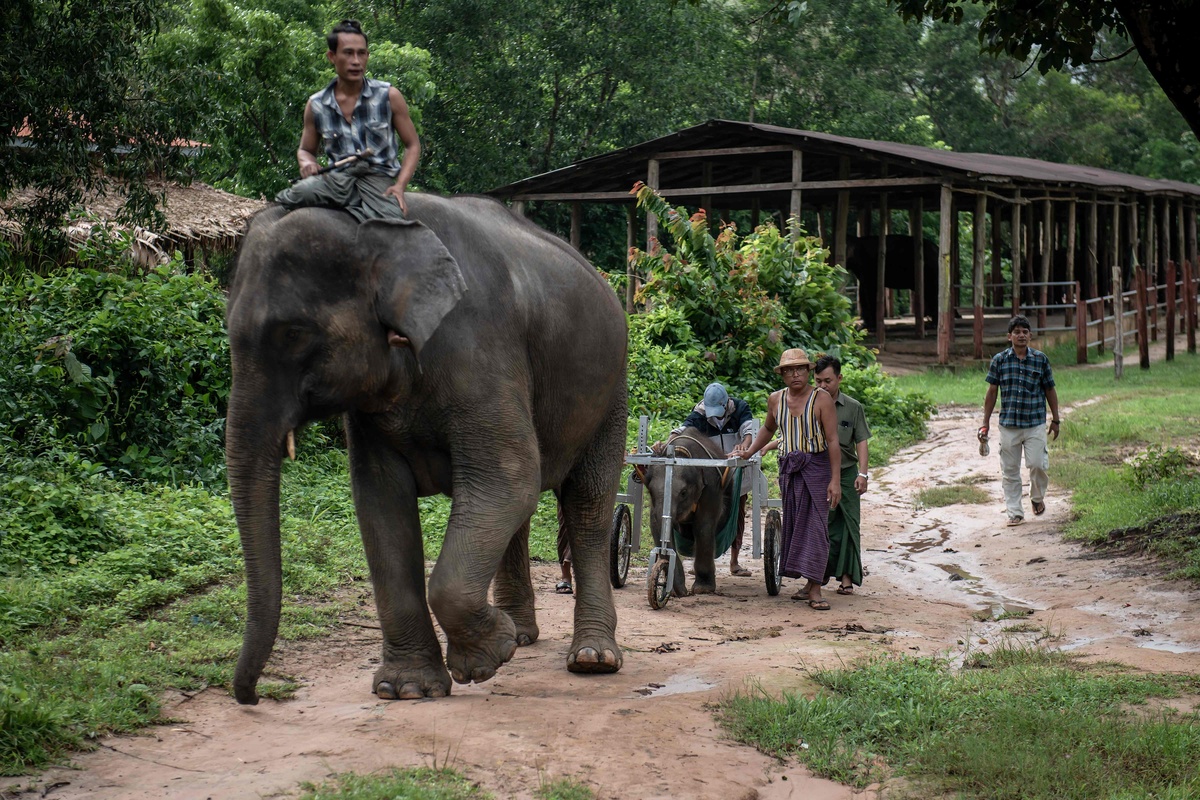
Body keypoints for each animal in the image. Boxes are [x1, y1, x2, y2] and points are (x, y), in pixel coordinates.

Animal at [224, 195, 628, 704]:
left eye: (294, 333)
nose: (252, 697)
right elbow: (381, 503)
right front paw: (407, 689)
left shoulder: (480, 349)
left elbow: (508, 477)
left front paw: (484, 661)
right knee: (522, 510)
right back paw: (521, 636)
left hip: (612, 389)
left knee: (587, 503)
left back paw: (593, 659)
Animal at [636, 432, 741, 597]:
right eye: (650, 492)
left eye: (684, 492)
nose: (681, 593)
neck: (679, 453)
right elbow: (656, 525)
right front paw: (672, 589)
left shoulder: (711, 484)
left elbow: (704, 525)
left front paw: (702, 589)